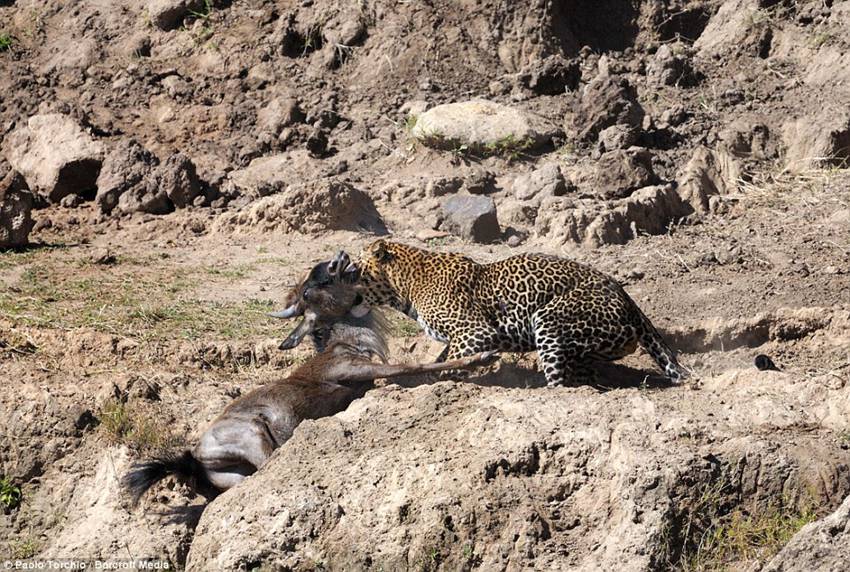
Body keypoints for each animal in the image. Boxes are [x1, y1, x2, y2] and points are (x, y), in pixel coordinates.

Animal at [342, 239, 684, 386]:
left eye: (353, 270)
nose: (340, 272)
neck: (408, 283)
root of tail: (627, 297)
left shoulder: (474, 331)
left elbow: (450, 361)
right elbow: (440, 357)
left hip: (550, 319)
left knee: (564, 383)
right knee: (586, 375)